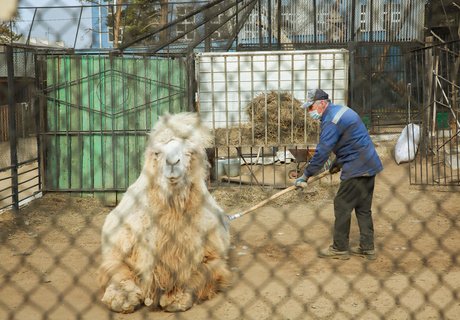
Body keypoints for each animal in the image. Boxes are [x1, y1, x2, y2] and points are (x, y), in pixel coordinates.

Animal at [99, 112, 232, 312]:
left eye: (189, 152)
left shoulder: (212, 257)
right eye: (157, 153)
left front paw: (177, 298)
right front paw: (121, 298)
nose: (172, 163)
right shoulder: (118, 247)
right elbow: (118, 270)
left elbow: (200, 275)